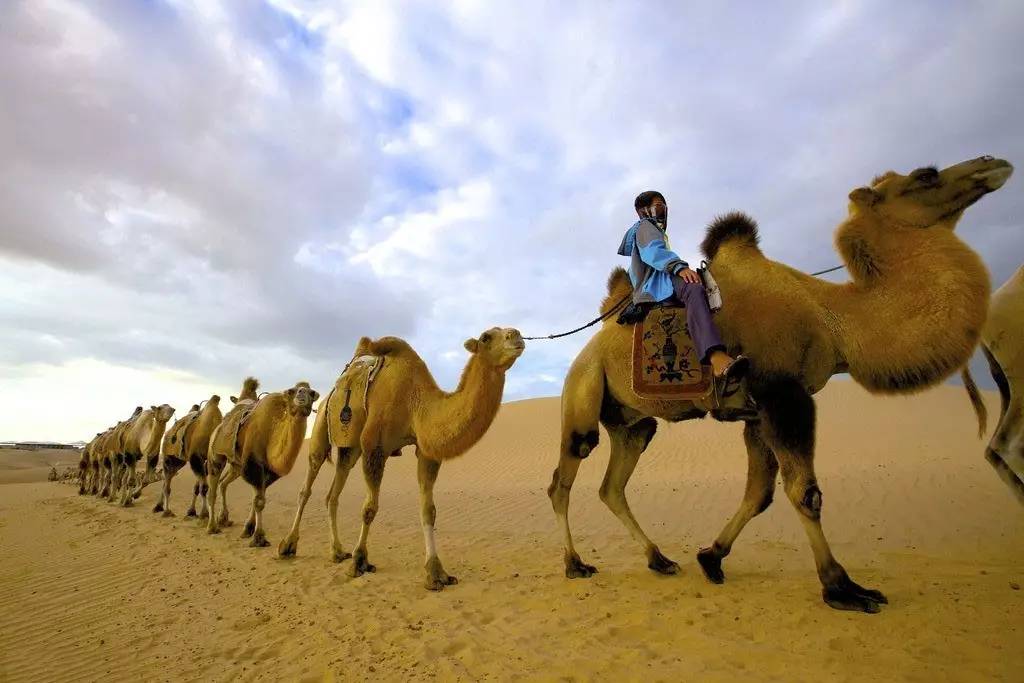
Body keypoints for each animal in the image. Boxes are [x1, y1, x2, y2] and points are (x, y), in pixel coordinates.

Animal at [205, 382, 317, 548]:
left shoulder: (268, 472)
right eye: (291, 391)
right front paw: (258, 537)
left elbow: (258, 499)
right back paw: (212, 527)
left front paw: (249, 529)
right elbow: (258, 501)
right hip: (215, 455)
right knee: (212, 487)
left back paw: (224, 519)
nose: (302, 393)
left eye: (313, 393)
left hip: (236, 466)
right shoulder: (254, 465)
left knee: (223, 483)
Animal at [276, 327, 524, 589]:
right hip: (321, 428)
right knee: (307, 486)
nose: (516, 335)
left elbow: (428, 510)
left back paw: (337, 551)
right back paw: (288, 545)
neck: (415, 401)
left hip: (349, 449)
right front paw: (359, 562)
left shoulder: (426, 451)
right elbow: (369, 508)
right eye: (486, 337)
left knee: (333, 494)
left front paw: (436, 573)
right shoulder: (374, 447)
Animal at [548, 157, 1011, 618]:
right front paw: (843, 588)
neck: (831, 319)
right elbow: (804, 492)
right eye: (925, 176)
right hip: (584, 391)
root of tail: (587, 349)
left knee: (614, 483)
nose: (993, 164)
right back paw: (575, 564)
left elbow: (761, 493)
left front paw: (711, 558)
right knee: (564, 477)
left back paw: (660, 559)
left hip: (632, 422)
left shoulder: (757, 411)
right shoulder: (783, 392)